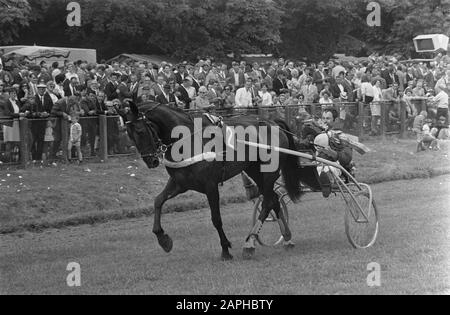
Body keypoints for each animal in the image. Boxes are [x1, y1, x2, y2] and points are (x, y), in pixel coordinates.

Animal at [119, 102, 302, 260]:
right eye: (129, 134)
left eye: (140, 131)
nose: (151, 161)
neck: (187, 140)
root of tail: (273, 122)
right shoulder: (180, 183)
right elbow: (158, 201)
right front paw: (163, 239)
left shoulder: (211, 186)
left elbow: (216, 219)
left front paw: (225, 250)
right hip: (255, 170)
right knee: (273, 200)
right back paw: (287, 239)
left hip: (269, 172)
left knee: (268, 202)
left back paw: (250, 244)